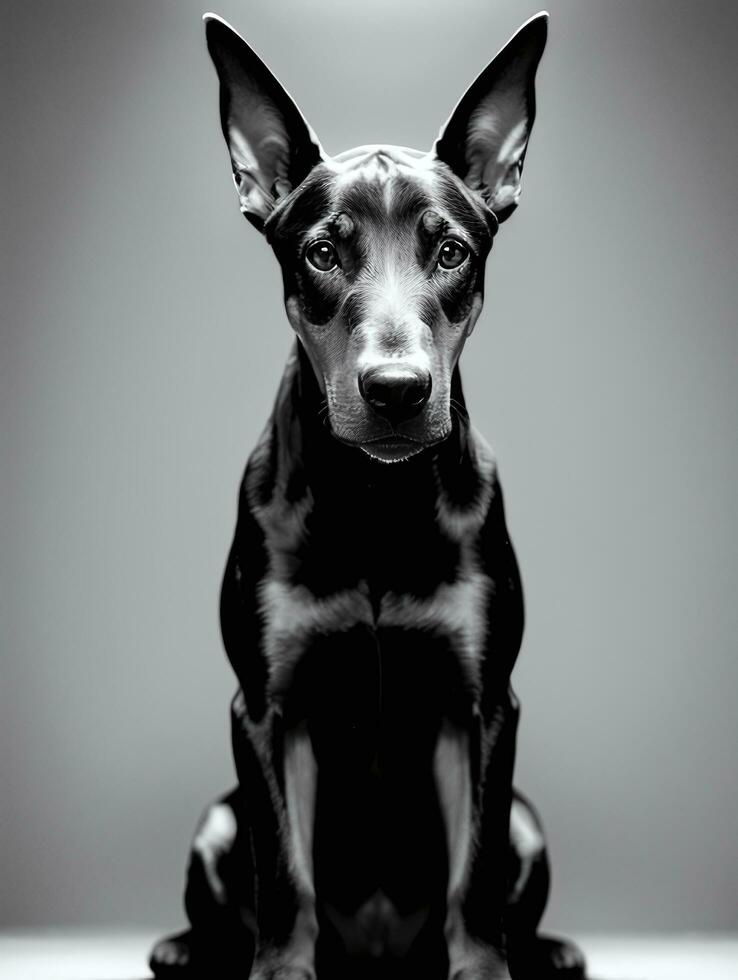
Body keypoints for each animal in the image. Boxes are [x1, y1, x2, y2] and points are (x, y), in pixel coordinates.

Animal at [150, 9, 584, 980]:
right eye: (322, 251)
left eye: (451, 250)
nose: (395, 390)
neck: (378, 500)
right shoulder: (266, 708)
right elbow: (287, 875)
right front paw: (279, 969)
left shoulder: (483, 705)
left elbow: (473, 876)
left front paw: (485, 968)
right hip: (216, 819)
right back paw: (184, 948)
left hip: (530, 820)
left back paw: (551, 950)